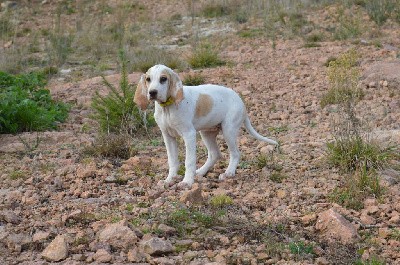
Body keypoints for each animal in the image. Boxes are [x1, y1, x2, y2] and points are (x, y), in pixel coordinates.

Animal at [134, 65, 278, 187]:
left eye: (163, 79)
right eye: (148, 79)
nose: (152, 92)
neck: (168, 107)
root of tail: (240, 101)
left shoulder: (189, 134)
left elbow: (189, 160)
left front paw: (187, 182)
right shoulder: (167, 136)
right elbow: (172, 160)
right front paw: (169, 180)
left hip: (228, 130)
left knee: (235, 153)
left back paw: (228, 173)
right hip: (207, 133)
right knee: (215, 154)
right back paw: (201, 172)